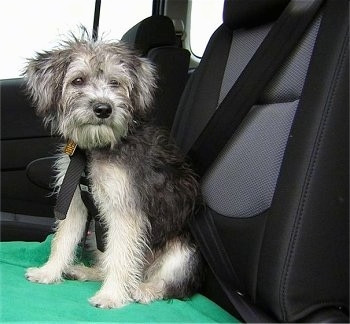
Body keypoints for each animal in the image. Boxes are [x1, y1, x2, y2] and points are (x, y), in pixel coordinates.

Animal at [23, 33, 202, 308]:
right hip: (97, 236)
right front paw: (49, 272)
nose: (103, 109)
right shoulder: (74, 200)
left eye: (115, 83)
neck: (94, 150)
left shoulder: (125, 209)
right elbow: (63, 239)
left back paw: (143, 289)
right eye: (78, 80)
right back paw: (86, 271)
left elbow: (121, 255)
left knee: (172, 286)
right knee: (107, 260)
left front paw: (112, 295)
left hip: (183, 253)